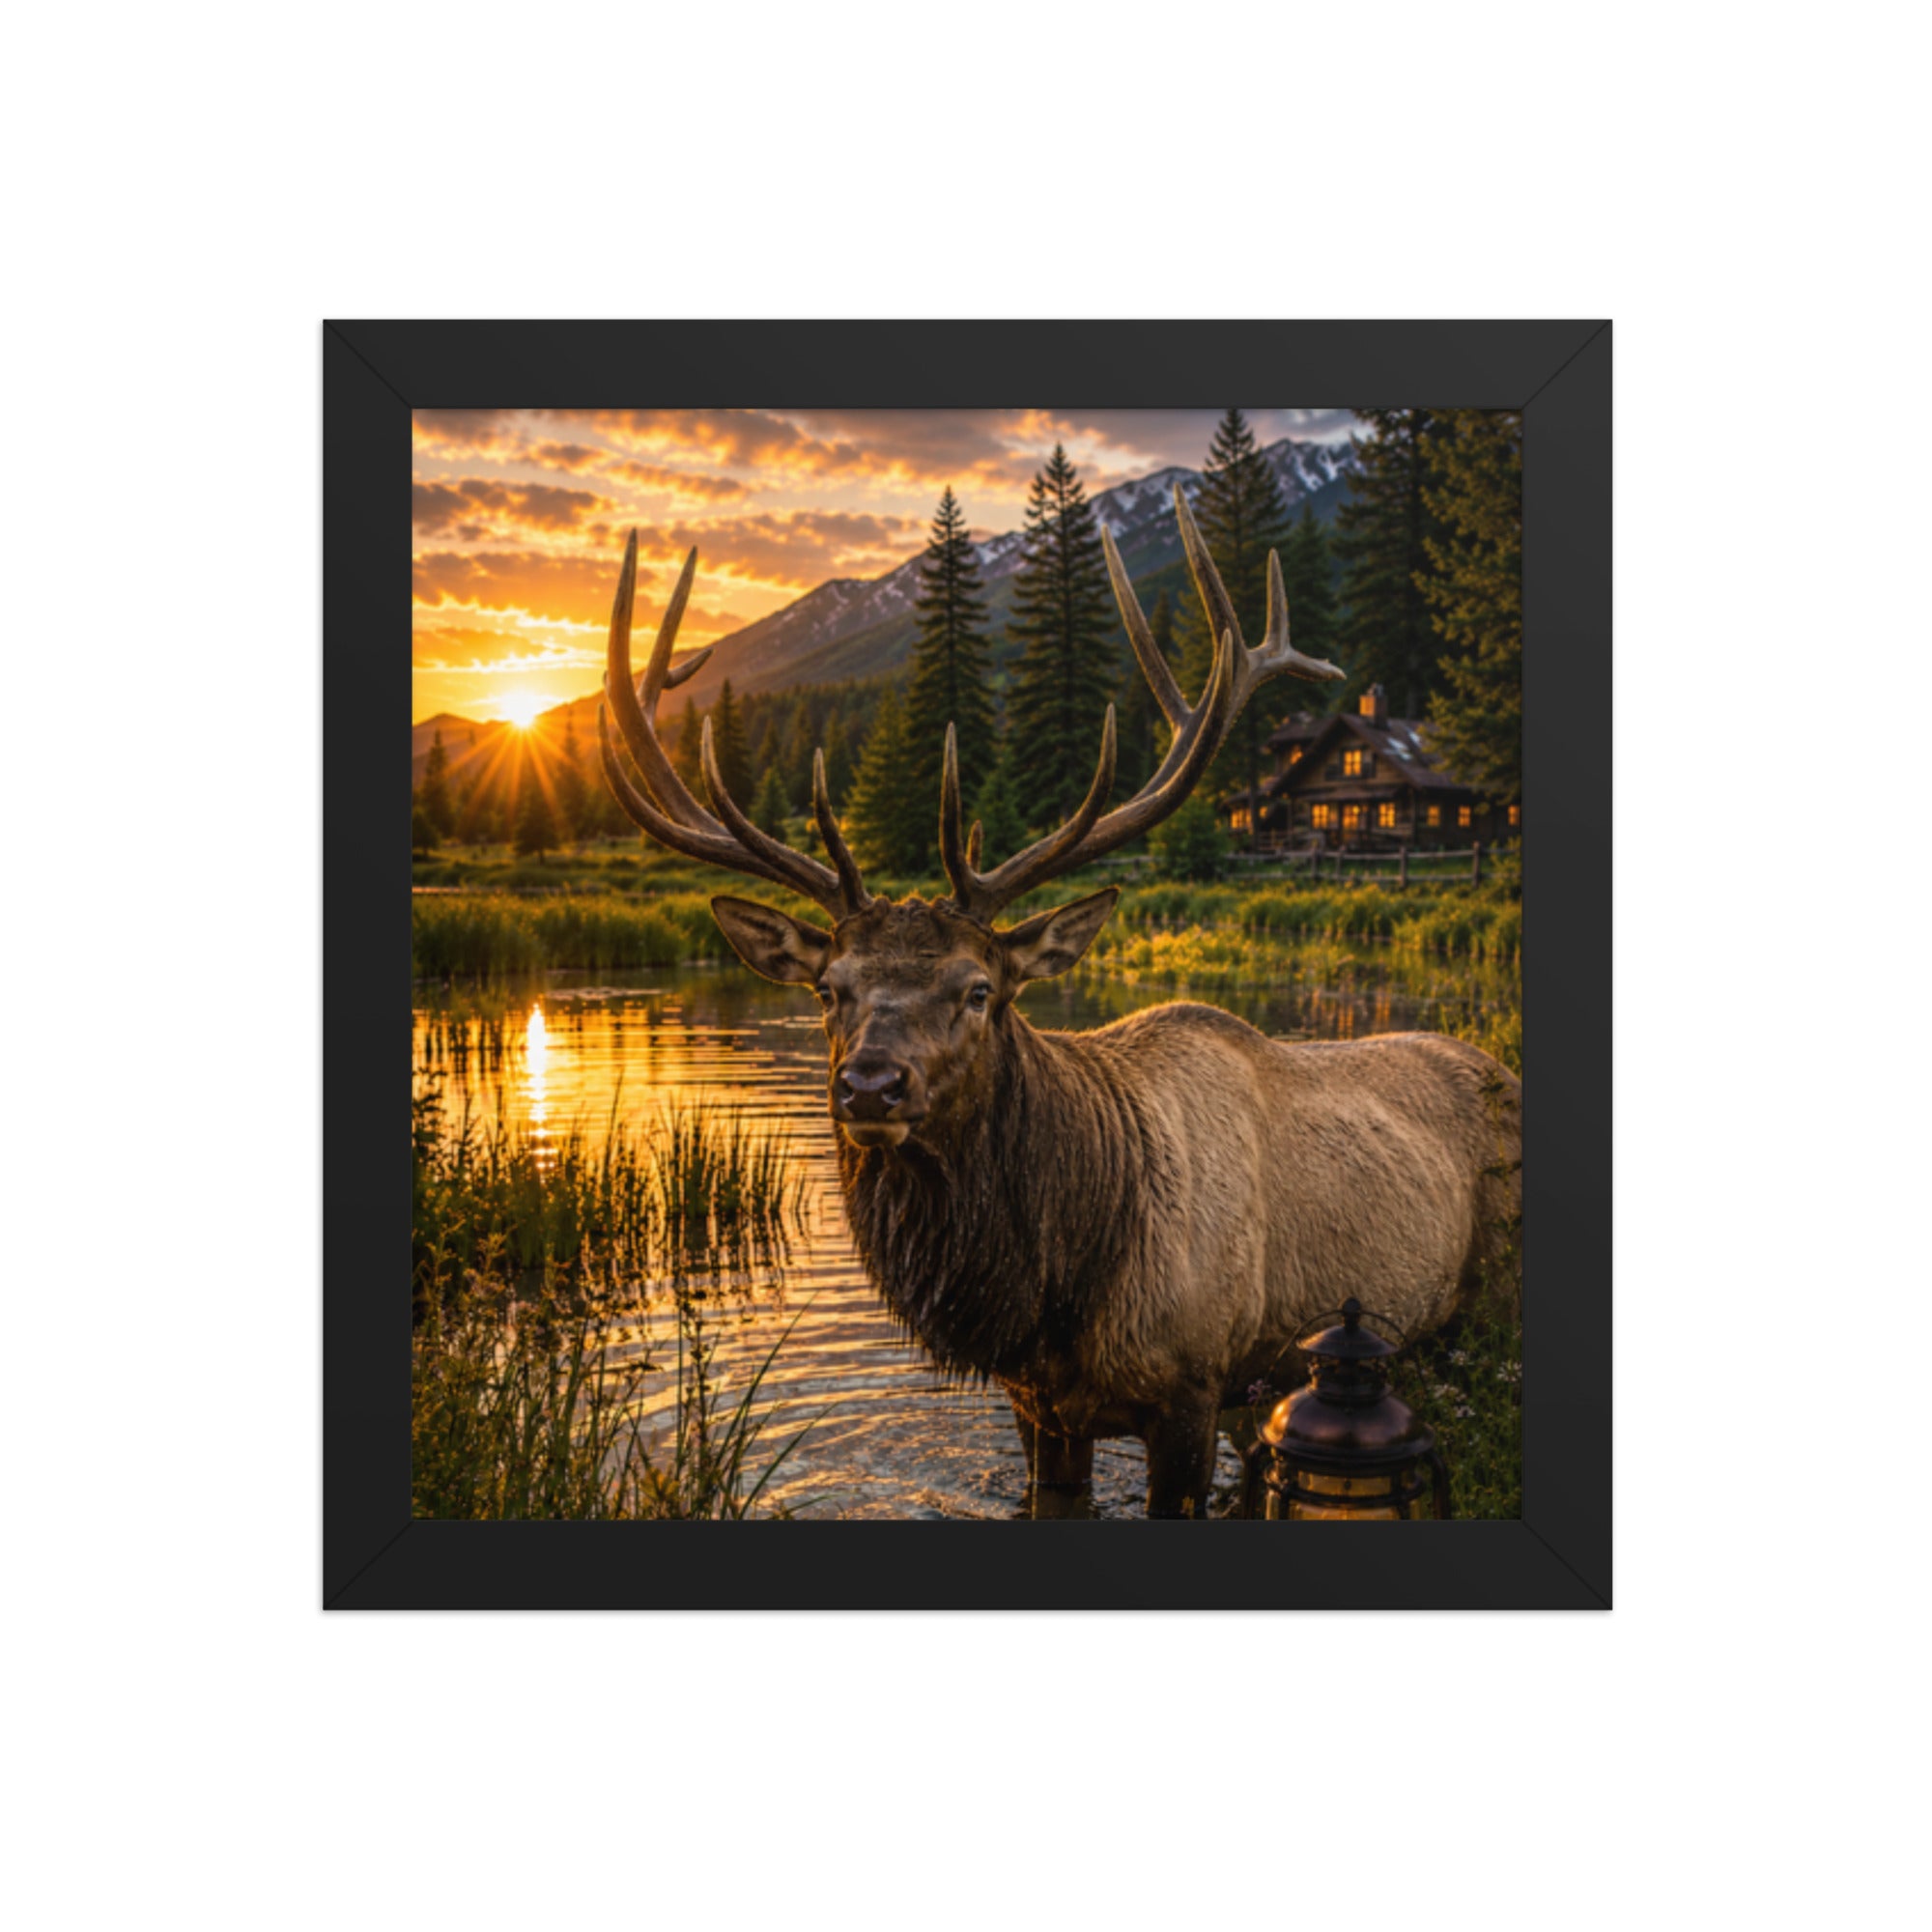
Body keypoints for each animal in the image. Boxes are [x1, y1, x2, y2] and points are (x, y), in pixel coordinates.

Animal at [596, 487, 1521, 1517]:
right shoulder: (1039, 1404)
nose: (870, 1086)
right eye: (830, 989)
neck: (1055, 1293)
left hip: (1483, 1306)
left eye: (979, 991)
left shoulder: (1192, 1388)